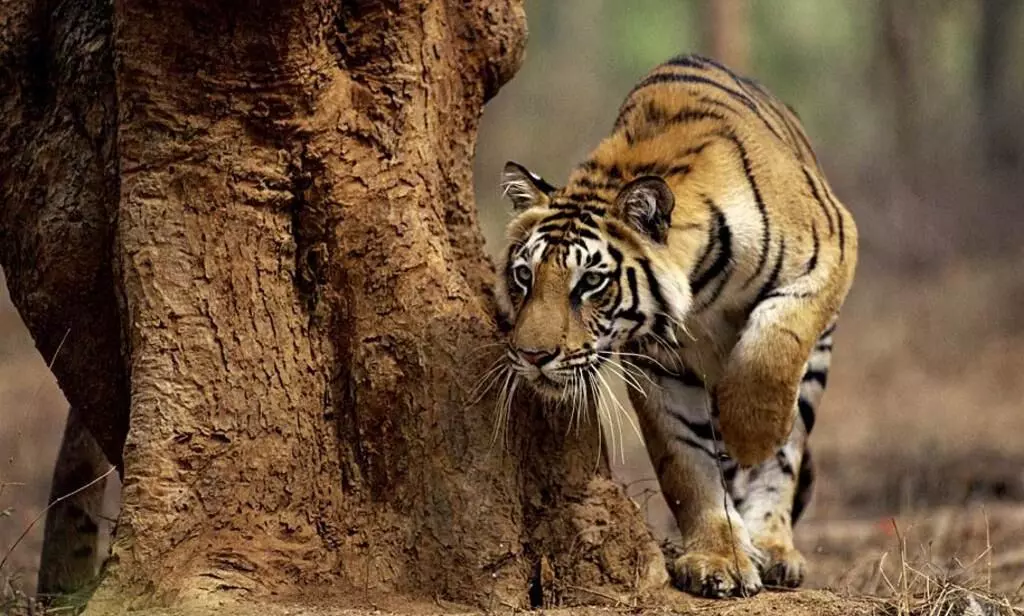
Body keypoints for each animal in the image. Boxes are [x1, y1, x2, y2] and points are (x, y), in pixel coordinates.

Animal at [494, 53, 857, 598]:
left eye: (590, 282)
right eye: (524, 276)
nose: (533, 357)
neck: (701, 292)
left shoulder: (833, 247)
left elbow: (770, 351)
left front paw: (752, 434)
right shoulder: (658, 366)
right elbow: (687, 467)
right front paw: (720, 560)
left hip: (816, 365)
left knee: (787, 454)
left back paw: (774, 547)